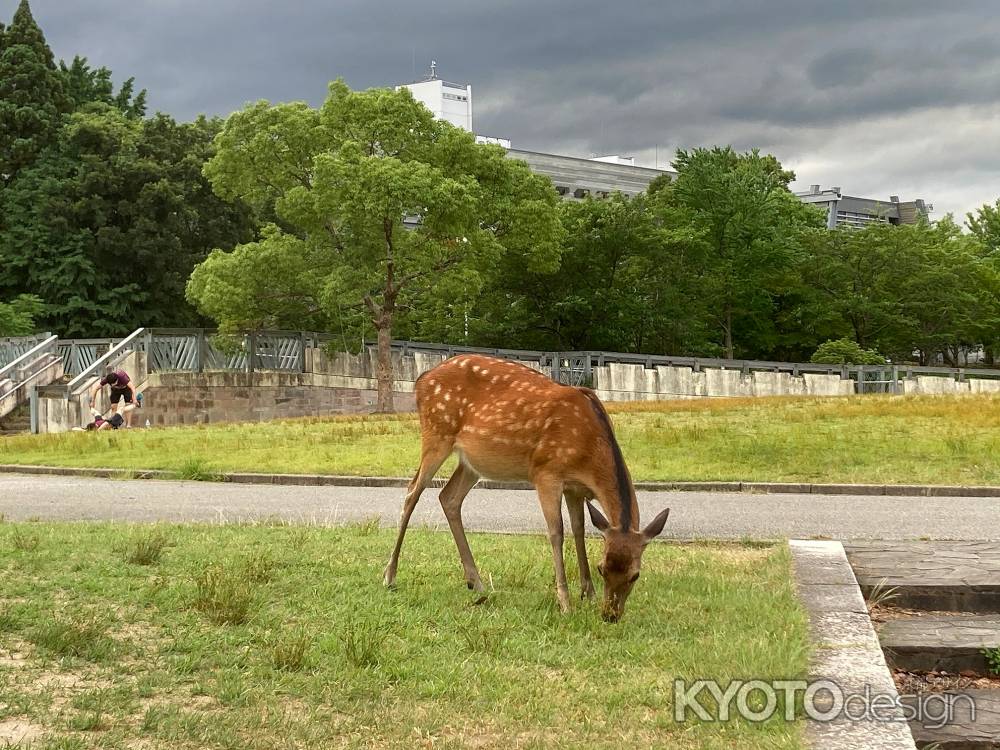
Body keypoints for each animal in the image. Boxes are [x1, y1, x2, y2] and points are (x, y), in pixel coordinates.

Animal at [384, 356, 672, 624]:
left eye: (635, 575)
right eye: (603, 569)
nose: (610, 615)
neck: (589, 450)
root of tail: (422, 380)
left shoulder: (575, 488)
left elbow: (579, 530)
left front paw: (587, 594)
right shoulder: (546, 473)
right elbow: (557, 532)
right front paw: (565, 603)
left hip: (471, 462)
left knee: (448, 497)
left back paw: (476, 582)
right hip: (437, 433)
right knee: (412, 492)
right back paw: (390, 576)